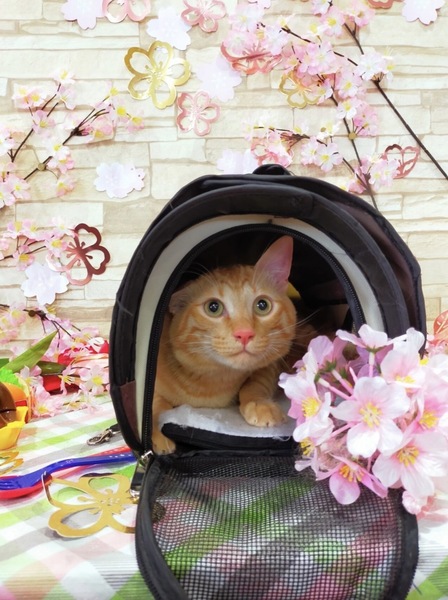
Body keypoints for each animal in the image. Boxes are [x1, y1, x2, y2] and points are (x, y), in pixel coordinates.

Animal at [152, 235, 318, 454]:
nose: (244, 333)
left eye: (262, 305)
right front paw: (159, 433)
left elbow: (255, 383)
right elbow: (154, 404)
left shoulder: (269, 366)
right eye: (213, 307)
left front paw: (259, 404)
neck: (210, 384)